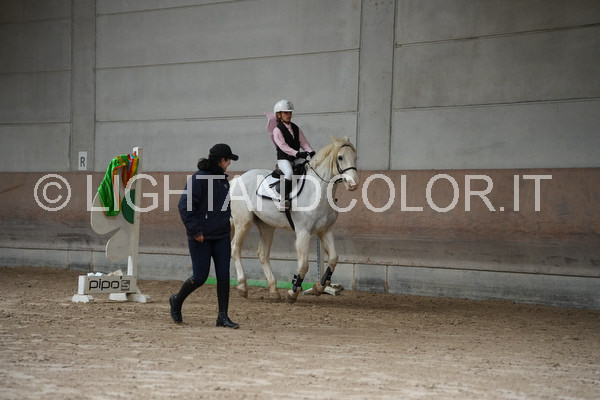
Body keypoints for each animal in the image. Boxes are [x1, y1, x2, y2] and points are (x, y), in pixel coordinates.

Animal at [230, 136, 360, 303]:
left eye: (355, 158)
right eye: (340, 157)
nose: (354, 183)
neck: (317, 191)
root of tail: (238, 178)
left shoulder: (325, 230)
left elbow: (333, 259)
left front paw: (319, 287)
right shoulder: (303, 233)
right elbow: (304, 265)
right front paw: (293, 292)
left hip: (266, 226)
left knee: (263, 254)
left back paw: (274, 291)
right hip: (243, 223)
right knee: (235, 248)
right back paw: (242, 287)